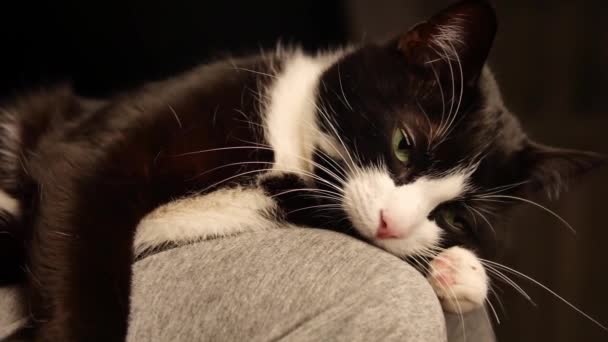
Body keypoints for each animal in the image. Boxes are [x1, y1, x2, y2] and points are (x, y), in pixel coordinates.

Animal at [0, 0, 600, 340]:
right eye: (404, 146)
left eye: (455, 216)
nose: (391, 223)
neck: (283, 148)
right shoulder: (94, 150)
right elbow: (81, 181)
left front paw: (458, 268)